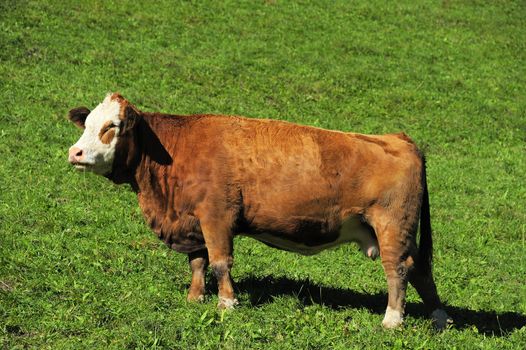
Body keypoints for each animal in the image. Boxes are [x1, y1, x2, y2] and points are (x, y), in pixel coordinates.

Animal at [67, 93, 454, 328]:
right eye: (86, 125)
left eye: (112, 126)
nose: (75, 153)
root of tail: (398, 139)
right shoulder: (192, 221)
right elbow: (198, 262)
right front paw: (195, 297)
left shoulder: (216, 216)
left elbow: (220, 262)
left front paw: (227, 303)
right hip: (403, 232)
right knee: (420, 268)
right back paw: (439, 317)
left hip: (391, 226)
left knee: (398, 270)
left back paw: (392, 320)